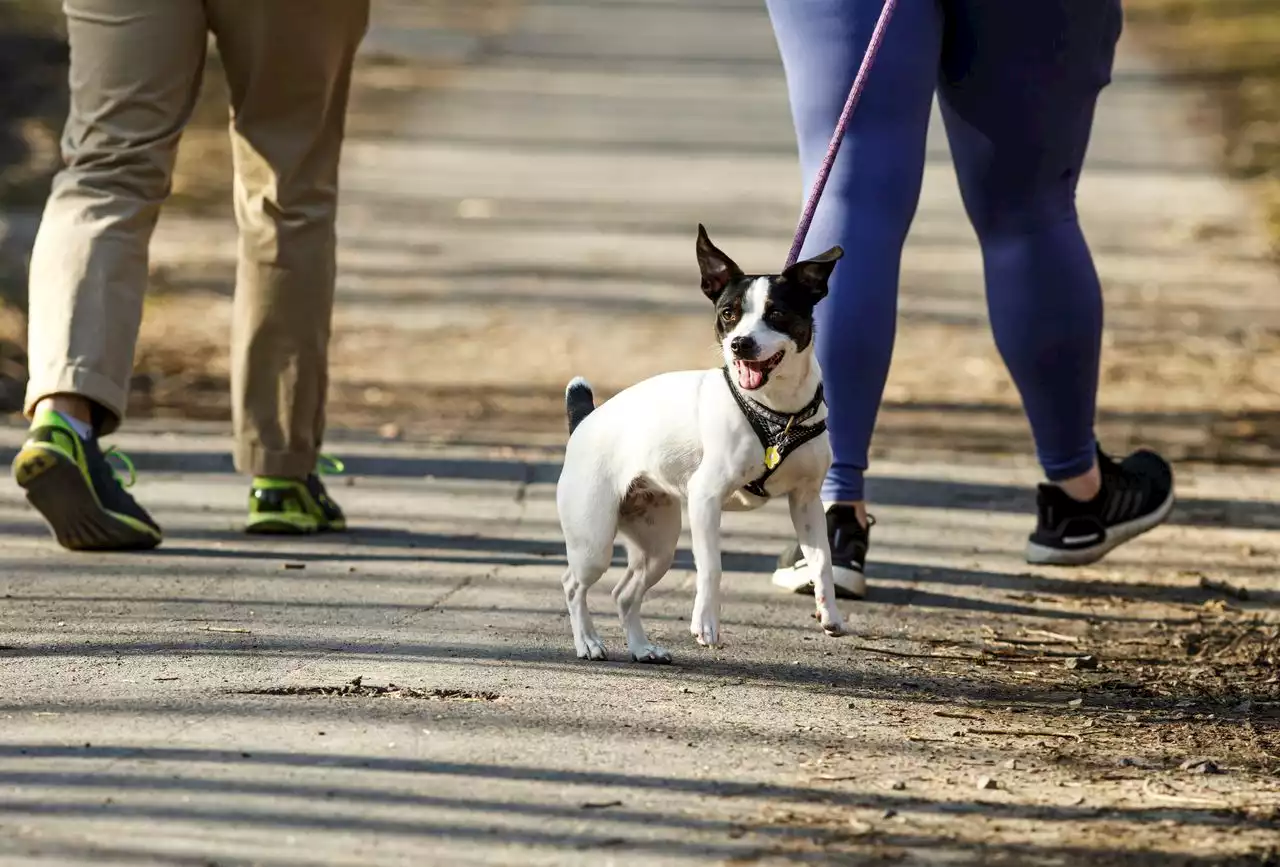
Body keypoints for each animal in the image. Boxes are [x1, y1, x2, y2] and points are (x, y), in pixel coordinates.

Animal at [555, 225, 844, 660]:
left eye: (777, 313)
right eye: (728, 314)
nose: (740, 343)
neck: (777, 412)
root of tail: (586, 420)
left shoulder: (806, 501)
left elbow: (822, 561)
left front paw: (829, 612)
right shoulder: (706, 498)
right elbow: (712, 566)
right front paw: (705, 623)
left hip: (657, 547)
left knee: (624, 594)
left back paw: (642, 648)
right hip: (594, 543)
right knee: (574, 585)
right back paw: (588, 642)